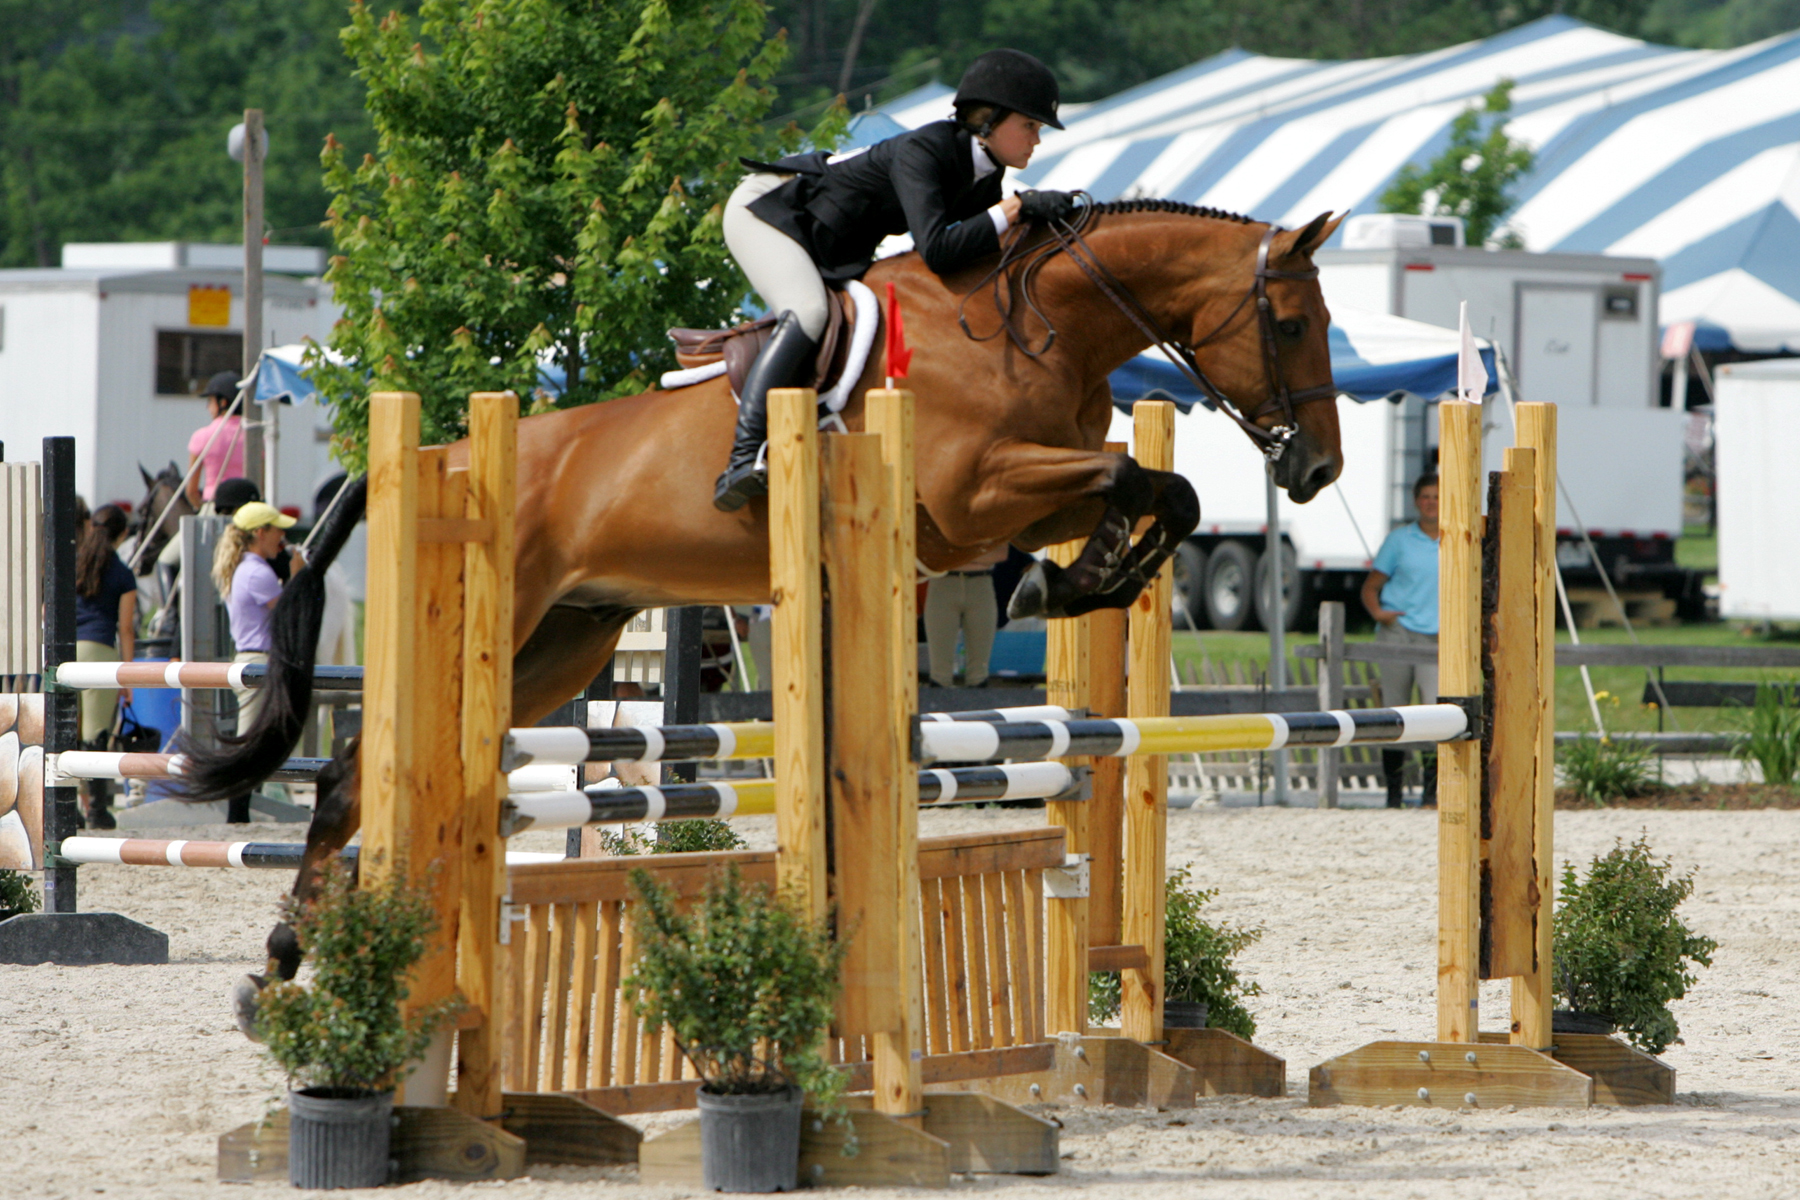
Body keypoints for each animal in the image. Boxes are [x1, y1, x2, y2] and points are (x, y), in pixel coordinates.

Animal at [179, 199, 1339, 1021]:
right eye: (1289, 323)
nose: (1318, 469)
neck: (1030, 324)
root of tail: (439, 457)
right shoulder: (972, 496)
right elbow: (1137, 478)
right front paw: (1075, 577)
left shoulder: (1005, 504)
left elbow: (1156, 489)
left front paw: (1081, 577)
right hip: (497, 618)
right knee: (359, 769)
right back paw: (298, 968)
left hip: (564, 641)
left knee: (367, 771)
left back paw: (292, 966)